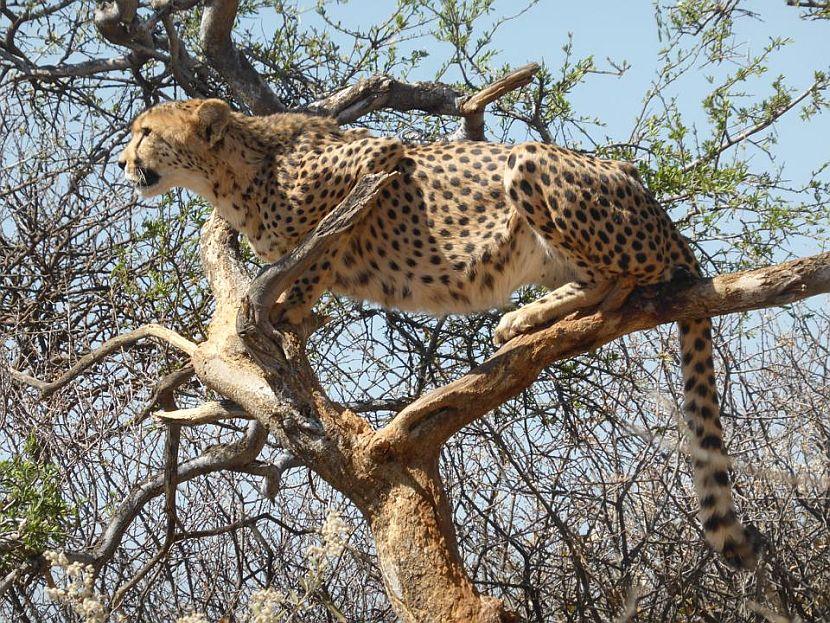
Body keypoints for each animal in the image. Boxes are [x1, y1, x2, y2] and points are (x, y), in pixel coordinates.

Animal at [118, 98, 768, 572]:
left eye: (145, 132)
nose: (122, 163)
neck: (234, 171)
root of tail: (651, 199)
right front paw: (282, 320)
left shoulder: (377, 158)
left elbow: (322, 250)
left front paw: (284, 313)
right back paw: (530, 318)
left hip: (533, 163)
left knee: (624, 279)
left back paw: (525, 317)